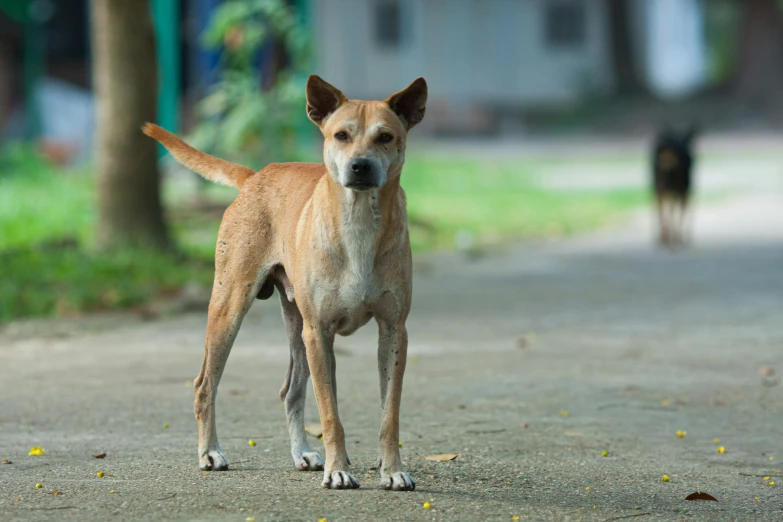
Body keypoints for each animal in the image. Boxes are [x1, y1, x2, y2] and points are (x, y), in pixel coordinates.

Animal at [144, 73, 426, 488]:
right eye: (341, 135)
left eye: (385, 136)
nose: (360, 166)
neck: (359, 222)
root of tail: (255, 176)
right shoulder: (319, 331)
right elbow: (330, 414)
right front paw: (339, 470)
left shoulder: (393, 331)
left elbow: (389, 414)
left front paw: (391, 470)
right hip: (232, 308)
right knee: (205, 384)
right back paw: (210, 452)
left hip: (297, 326)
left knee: (290, 391)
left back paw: (302, 454)